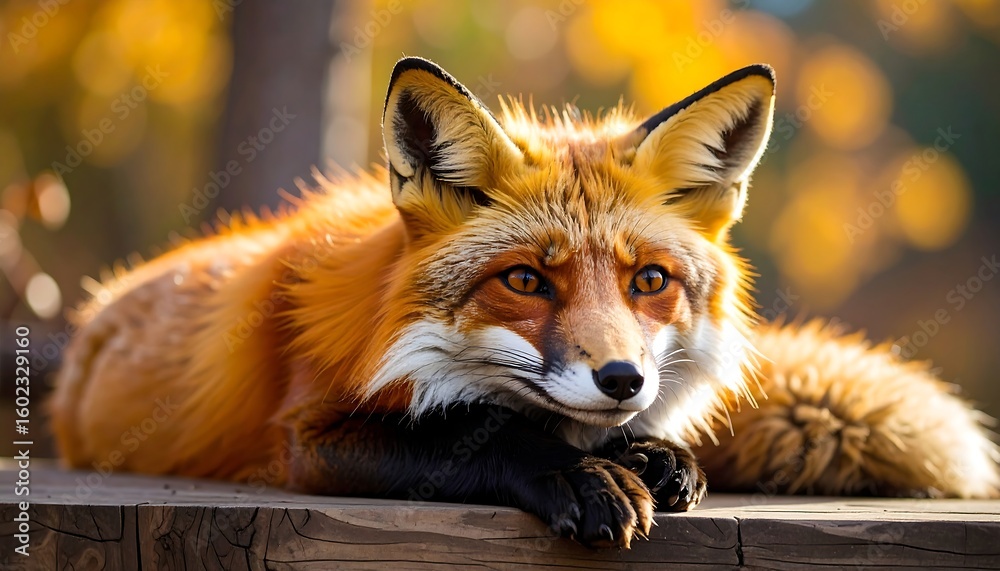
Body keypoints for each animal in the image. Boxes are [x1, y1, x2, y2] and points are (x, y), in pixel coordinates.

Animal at [49, 57, 999, 549]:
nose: (622, 380)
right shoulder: (306, 437)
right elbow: (472, 433)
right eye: (526, 281)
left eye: (649, 281)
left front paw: (655, 456)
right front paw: (577, 473)